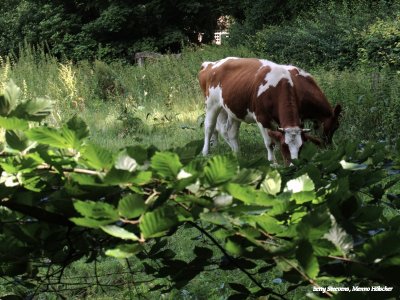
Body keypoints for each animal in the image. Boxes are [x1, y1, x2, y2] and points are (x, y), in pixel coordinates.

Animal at [198, 57, 340, 165]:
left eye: (301, 147)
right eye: (285, 146)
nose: (330, 146)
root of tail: (211, 64)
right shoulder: (262, 118)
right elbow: (270, 142)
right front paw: (273, 162)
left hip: (233, 109)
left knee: (230, 131)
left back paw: (236, 153)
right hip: (212, 104)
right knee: (210, 127)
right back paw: (205, 152)